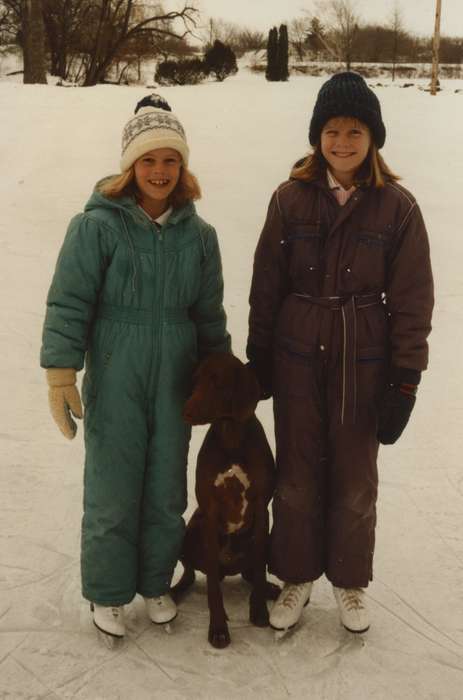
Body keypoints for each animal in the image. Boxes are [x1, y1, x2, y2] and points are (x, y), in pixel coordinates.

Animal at [172, 352, 278, 648]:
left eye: (217, 382)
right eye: (195, 380)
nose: (185, 411)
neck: (231, 436)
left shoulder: (262, 509)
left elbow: (260, 567)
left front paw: (259, 610)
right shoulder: (208, 513)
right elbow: (211, 589)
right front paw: (218, 627)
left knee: (252, 571)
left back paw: (269, 589)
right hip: (191, 530)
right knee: (193, 573)